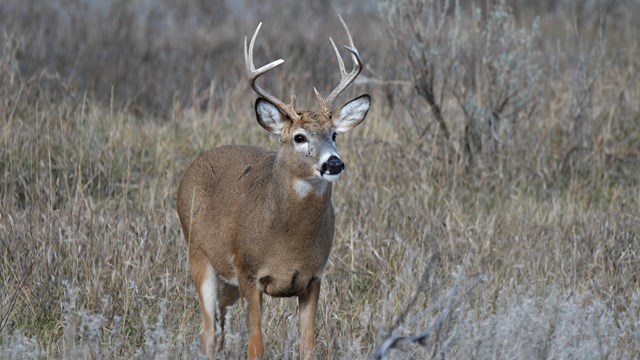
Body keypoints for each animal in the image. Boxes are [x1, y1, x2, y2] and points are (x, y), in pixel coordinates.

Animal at [178, 16, 370, 360]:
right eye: (299, 137)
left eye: (334, 134)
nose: (334, 163)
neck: (287, 241)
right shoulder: (249, 273)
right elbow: (256, 345)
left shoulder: (313, 277)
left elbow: (309, 346)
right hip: (198, 255)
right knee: (208, 332)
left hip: (227, 285)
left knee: (221, 325)